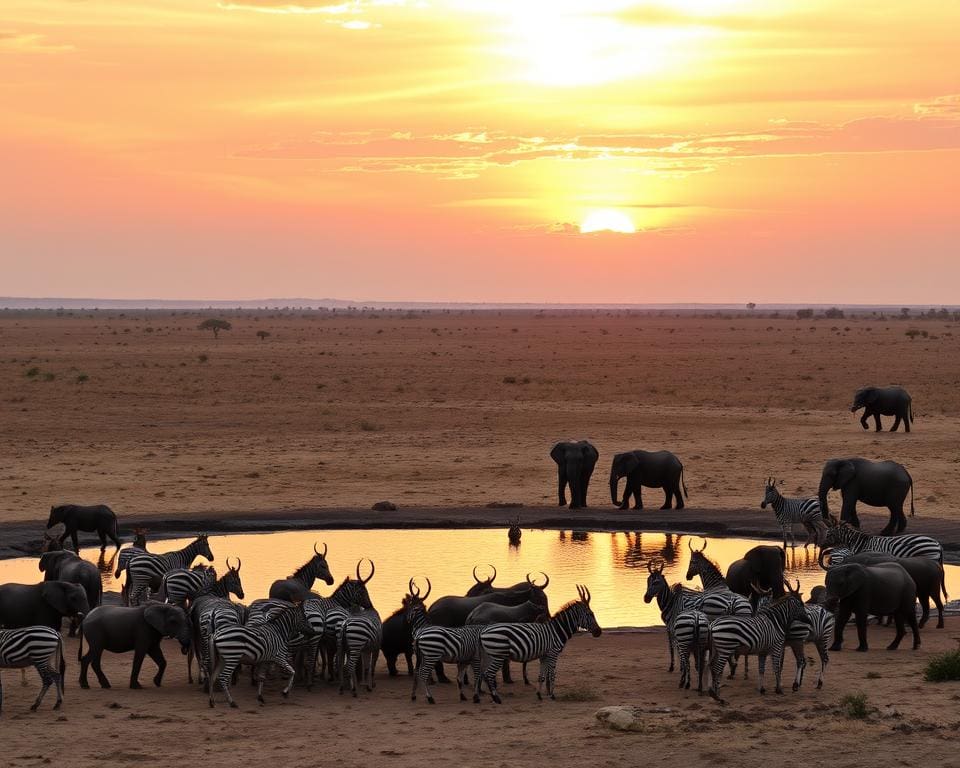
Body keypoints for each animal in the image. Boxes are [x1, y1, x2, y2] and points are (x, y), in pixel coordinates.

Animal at [640, 560, 708, 692]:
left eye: (656, 582)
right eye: (647, 580)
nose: (646, 598)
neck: (671, 603)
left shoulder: (671, 629)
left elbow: (672, 648)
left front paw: (673, 667)